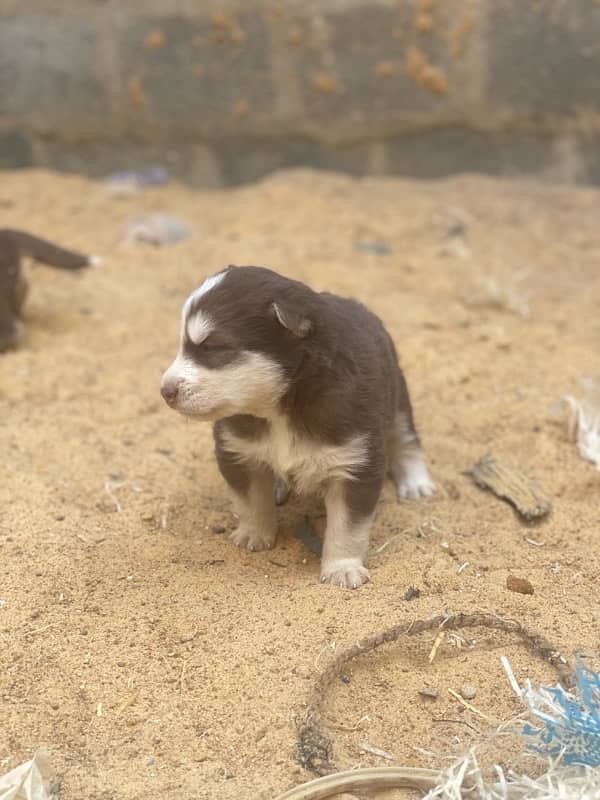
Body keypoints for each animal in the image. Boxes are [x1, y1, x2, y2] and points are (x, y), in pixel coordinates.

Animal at [159, 268, 434, 588]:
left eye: (211, 347)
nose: (164, 391)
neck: (280, 409)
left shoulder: (356, 464)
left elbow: (347, 527)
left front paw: (342, 568)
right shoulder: (239, 452)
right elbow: (251, 501)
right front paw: (254, 534)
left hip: (398, 399)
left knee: (407, 441)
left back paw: (416, 484)